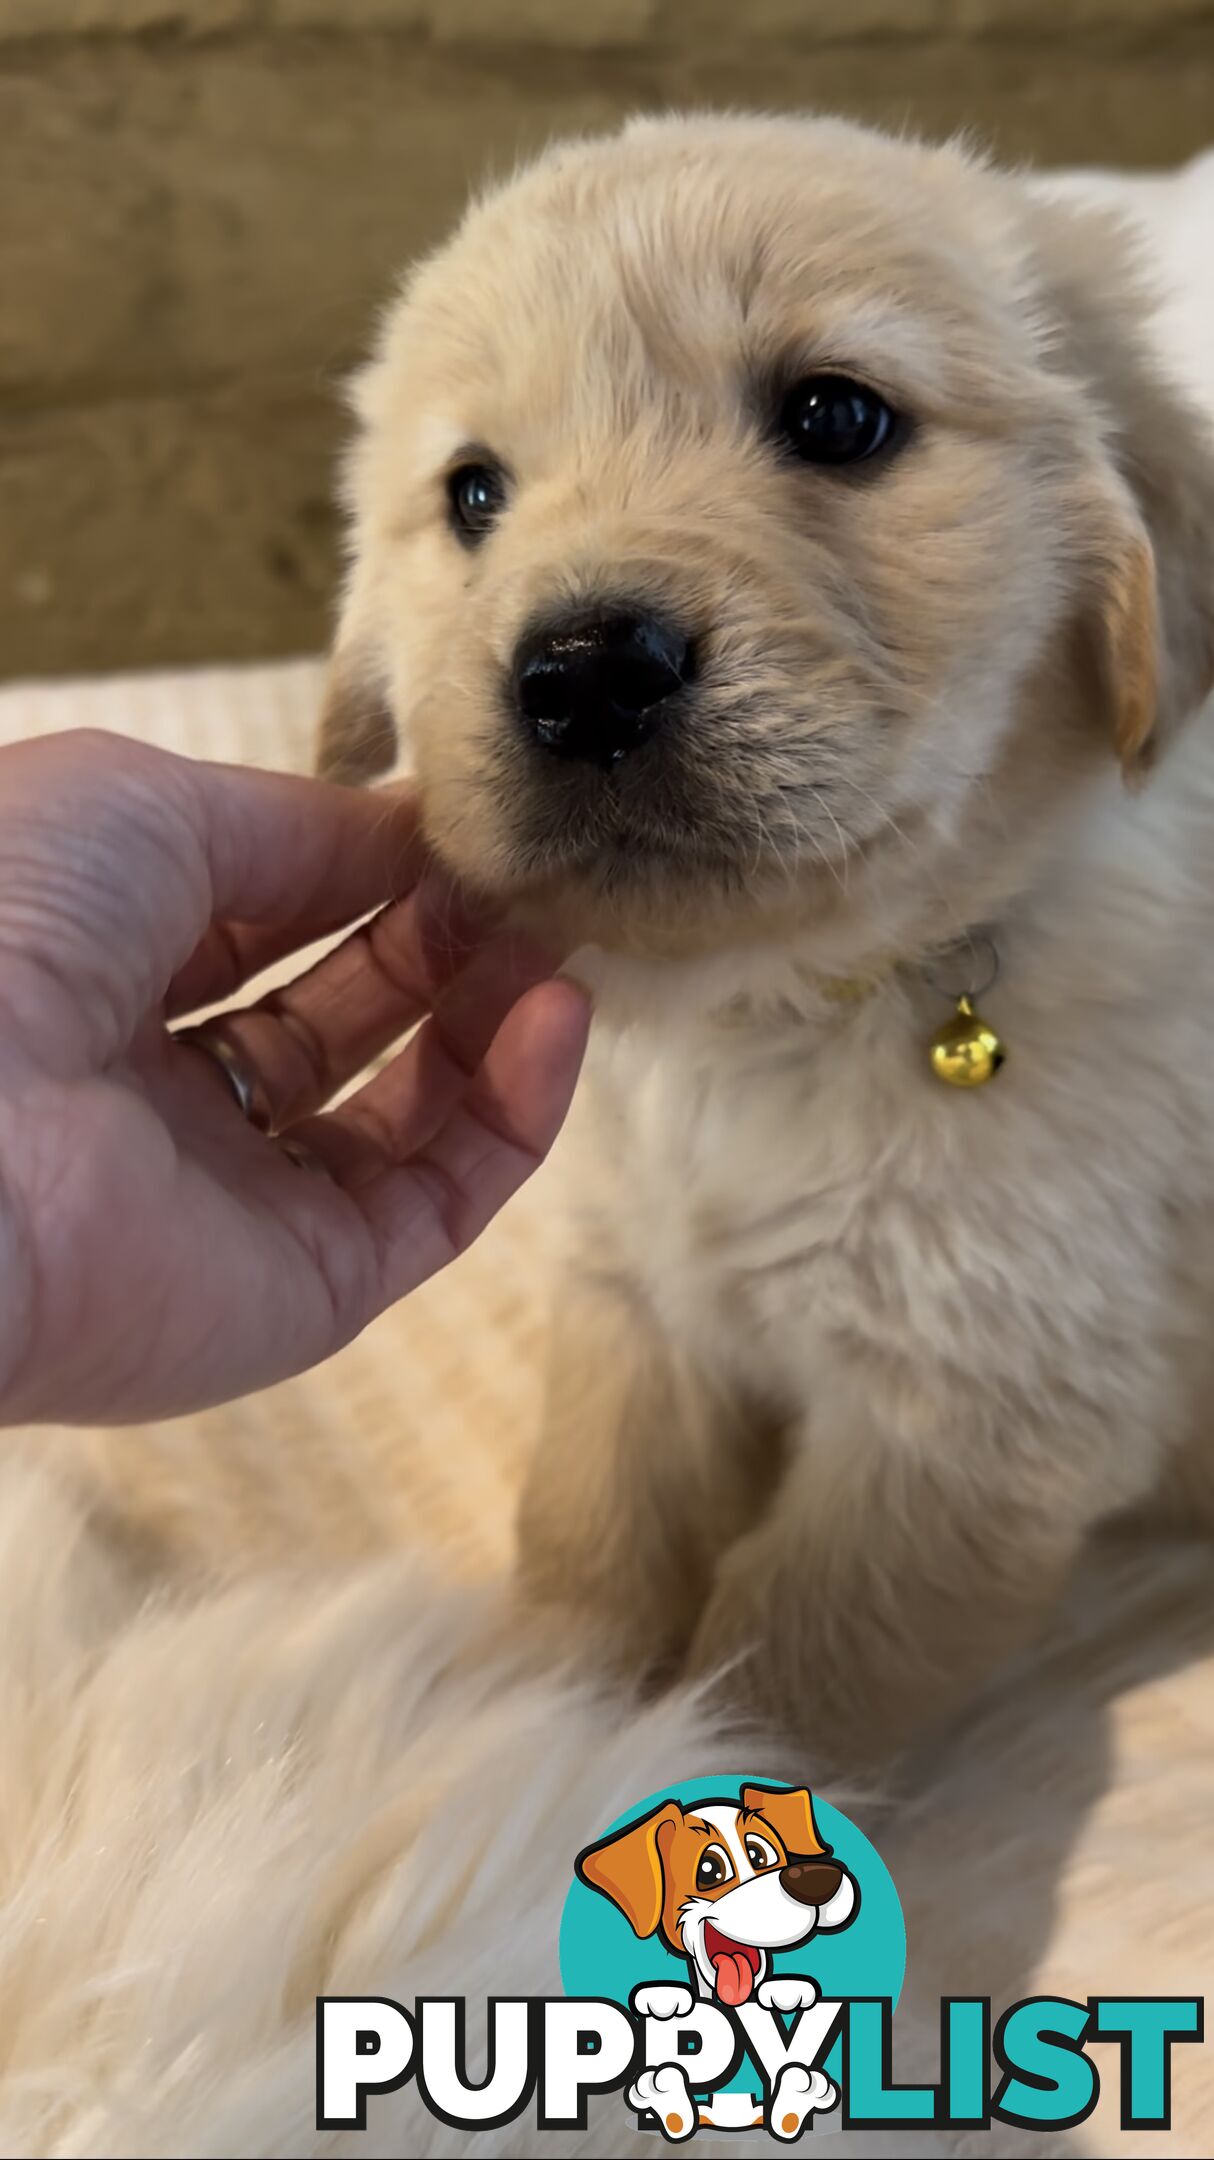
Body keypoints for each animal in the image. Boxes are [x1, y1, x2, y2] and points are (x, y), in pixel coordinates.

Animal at [313, 113, 1209, 1771]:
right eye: (471, 494)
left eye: (835, 417)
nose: (585, 673)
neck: (773, 1014)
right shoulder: (634, 1297)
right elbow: (588, 1529)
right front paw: (539, 1717)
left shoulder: (967, 1416)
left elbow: (787, 1669)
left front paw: (609, 1789)